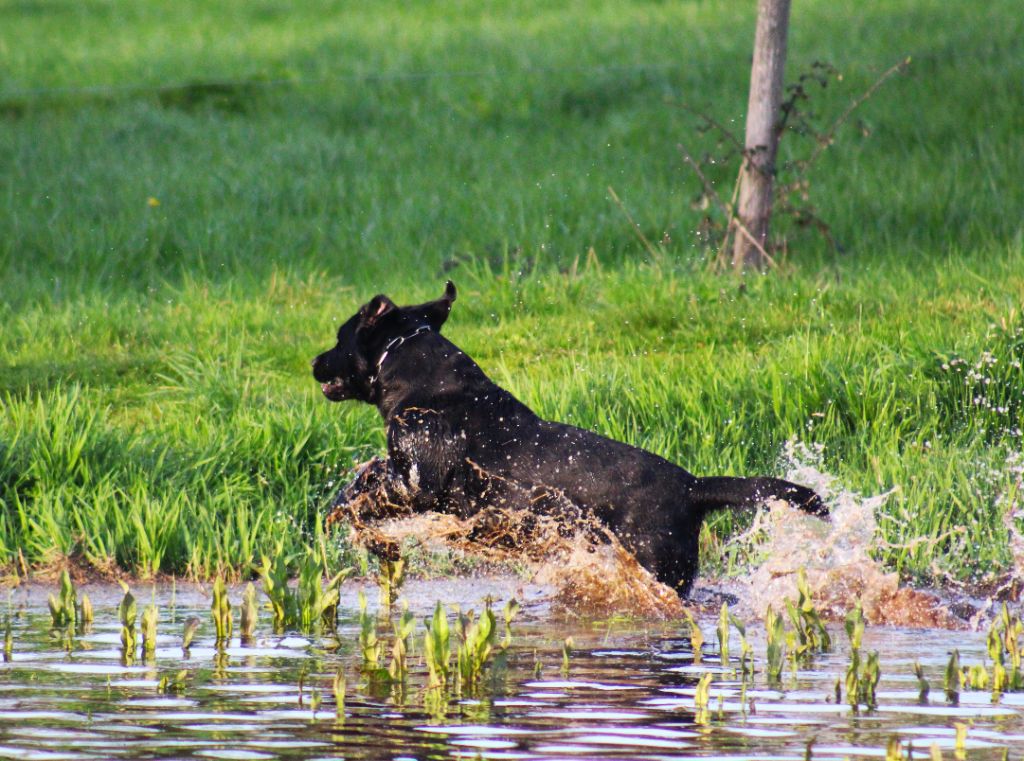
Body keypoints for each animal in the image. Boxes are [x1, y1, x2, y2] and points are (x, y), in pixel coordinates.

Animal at [309, 282, 823, 598]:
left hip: (655, 567)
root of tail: (692, 487)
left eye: (339, 336)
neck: (419, 375)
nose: (314, 362)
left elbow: (366, 490)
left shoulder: (418, 481)